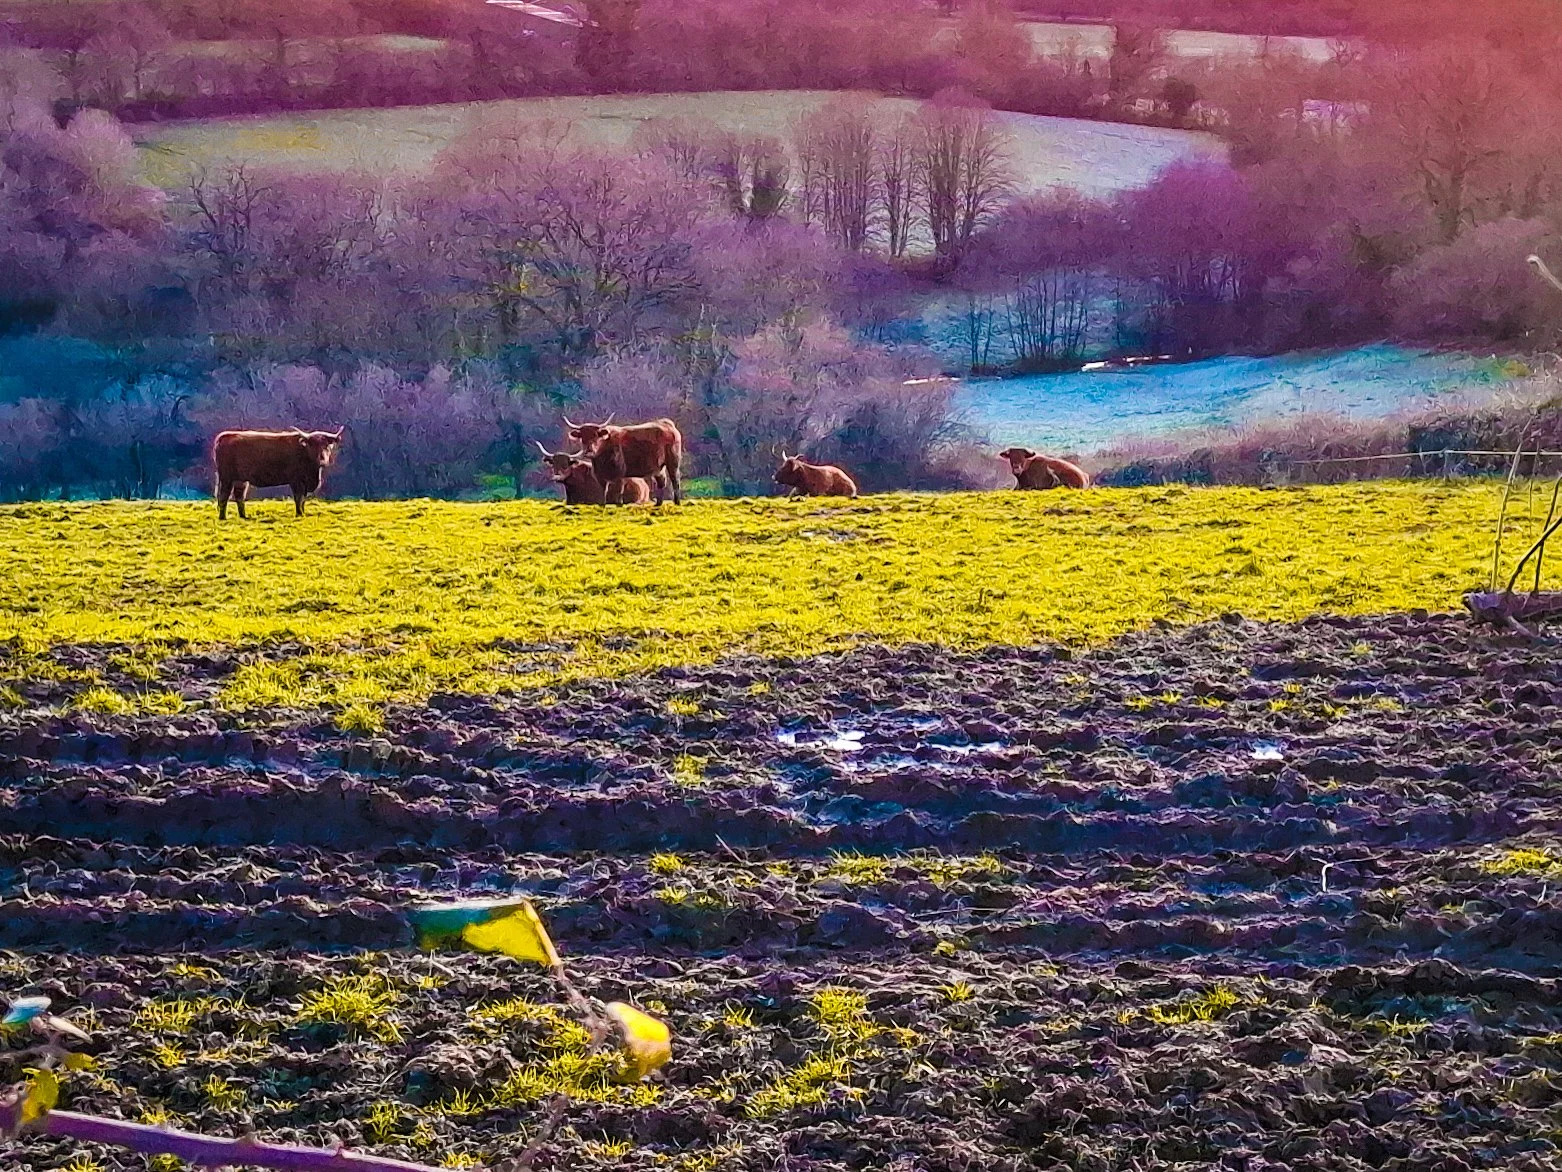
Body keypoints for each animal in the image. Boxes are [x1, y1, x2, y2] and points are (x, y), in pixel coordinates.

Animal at [214, 428, 343, 519]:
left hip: (240, 479)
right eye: (313, 445)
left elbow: (303, 499)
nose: (322, 459)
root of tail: (224, 436)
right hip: (226, 478)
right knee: (223, 496)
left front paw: (302, 512)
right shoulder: (296, 481)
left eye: (326, 446)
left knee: (239, 496)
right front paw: (299, 514)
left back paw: (243, 517)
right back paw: (222, 518)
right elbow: (298, 497)